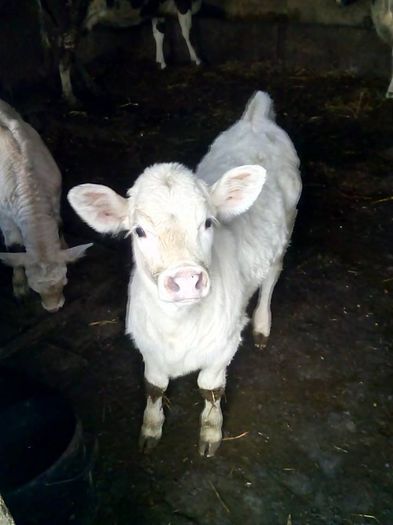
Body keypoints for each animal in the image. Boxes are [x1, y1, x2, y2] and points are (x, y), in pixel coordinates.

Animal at [0, 99, 92, 312]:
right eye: (34, 288)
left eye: (64, 281)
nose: (53, 308)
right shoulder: (5, 218)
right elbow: (14, 247)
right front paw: (19, 286)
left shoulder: (55, 197)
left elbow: (59, 225)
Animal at [67, 92, 300, 456]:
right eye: (139, 231)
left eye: (208, 222)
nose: (187, 279)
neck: (179, 326)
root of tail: (255, 119)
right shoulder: (147, 346)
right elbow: (154, 386)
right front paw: (151, 427)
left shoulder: (224, 346)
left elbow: (210, 388)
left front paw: (211, 431)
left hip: (287, 226)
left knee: (272, 276)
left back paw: (263, 323)